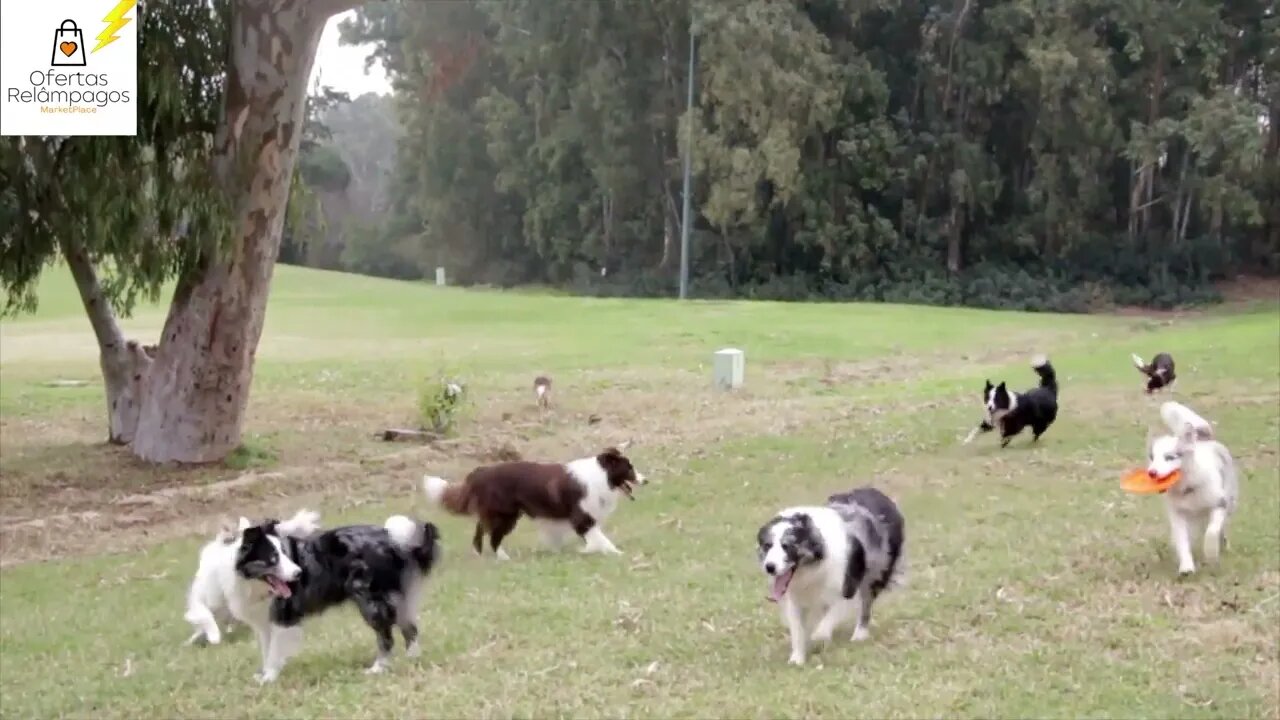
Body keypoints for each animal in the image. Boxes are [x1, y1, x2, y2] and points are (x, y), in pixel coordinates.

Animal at [184, 507, 320, 640]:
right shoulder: (200, 598)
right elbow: (205, 616)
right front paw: (213, 635)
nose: (299, 573)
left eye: (285, 554)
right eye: (273, 558)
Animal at [1152, 399, 1239, 573]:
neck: (1187, 488)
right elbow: (1182, 541)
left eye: (1169, 457)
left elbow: (1212, 531)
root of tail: (1203, 440)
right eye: (1152, 458)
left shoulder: (1219, 503)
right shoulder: (1178, 514)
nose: (1151, 473)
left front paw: (1211, 552)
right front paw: (1186, 567)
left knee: (1220, 528)